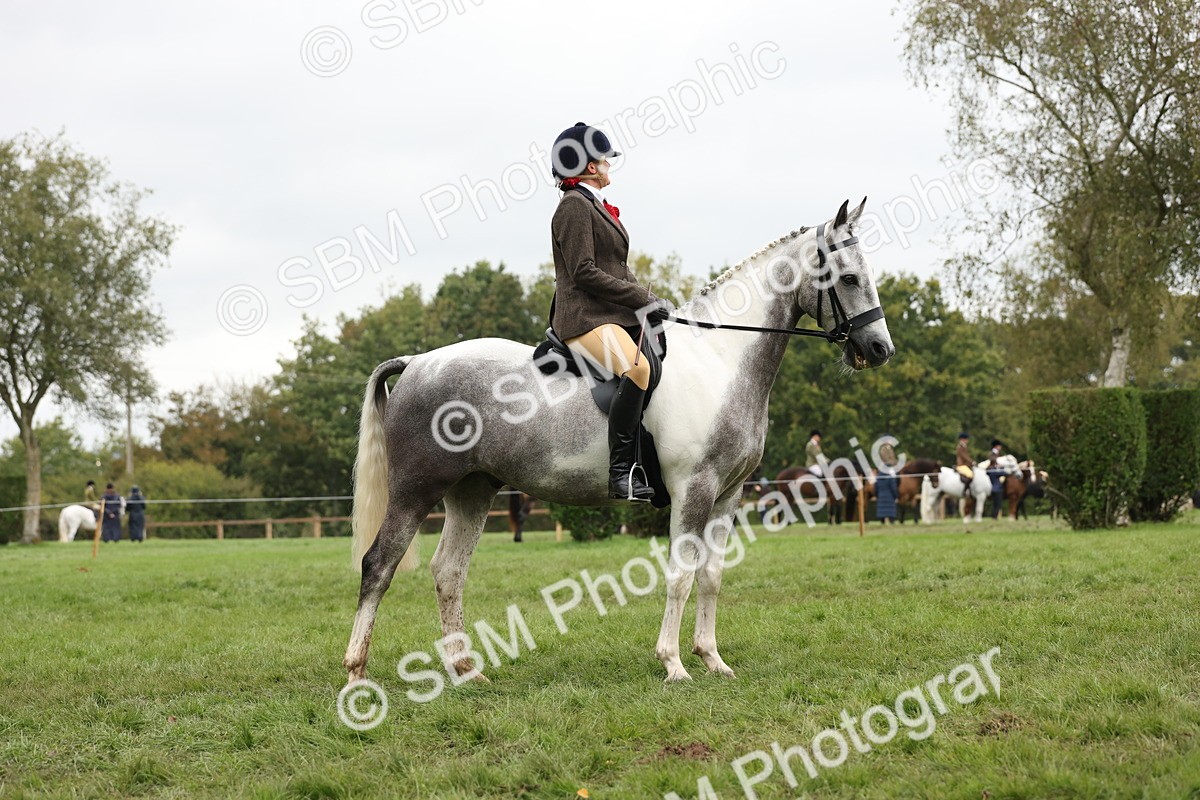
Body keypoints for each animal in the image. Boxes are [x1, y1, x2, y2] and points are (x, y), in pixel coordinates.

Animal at [343, 199, 895, 685]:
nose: (879, 349)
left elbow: (712, 575)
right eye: (849, 278)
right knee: (379, 565)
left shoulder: (728, 493)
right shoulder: (694, 489)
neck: (720, 358)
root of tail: (418, 362)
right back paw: (357, 674)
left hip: (472, 489)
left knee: (449, 571)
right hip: (416, 489)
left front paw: (713, 660)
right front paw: (674, 665)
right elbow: (680, 574)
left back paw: (465, 671)